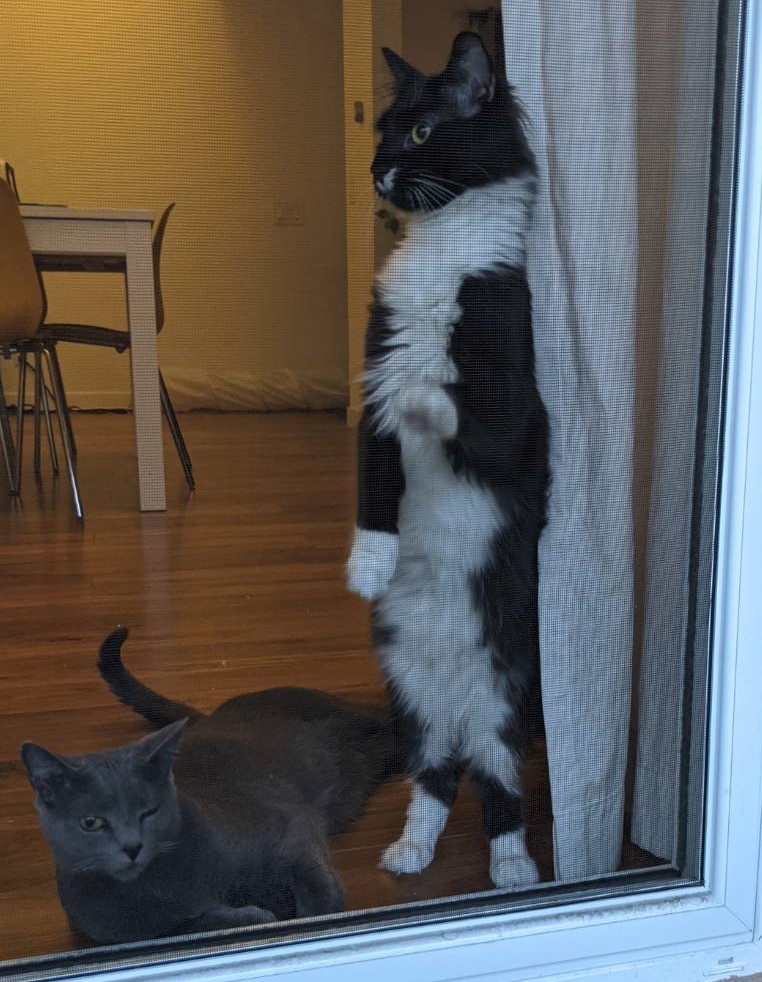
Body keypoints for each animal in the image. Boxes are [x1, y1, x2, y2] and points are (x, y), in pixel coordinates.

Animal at [20, 632, 404, 944]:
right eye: (92, 822)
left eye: (149, 810)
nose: (132, 845)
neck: (162, 883)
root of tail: (206, 716)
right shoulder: (125, 931)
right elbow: (190, 925)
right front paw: (253, 915)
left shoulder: (291, 830)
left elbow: (319, 895)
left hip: (367, 730)